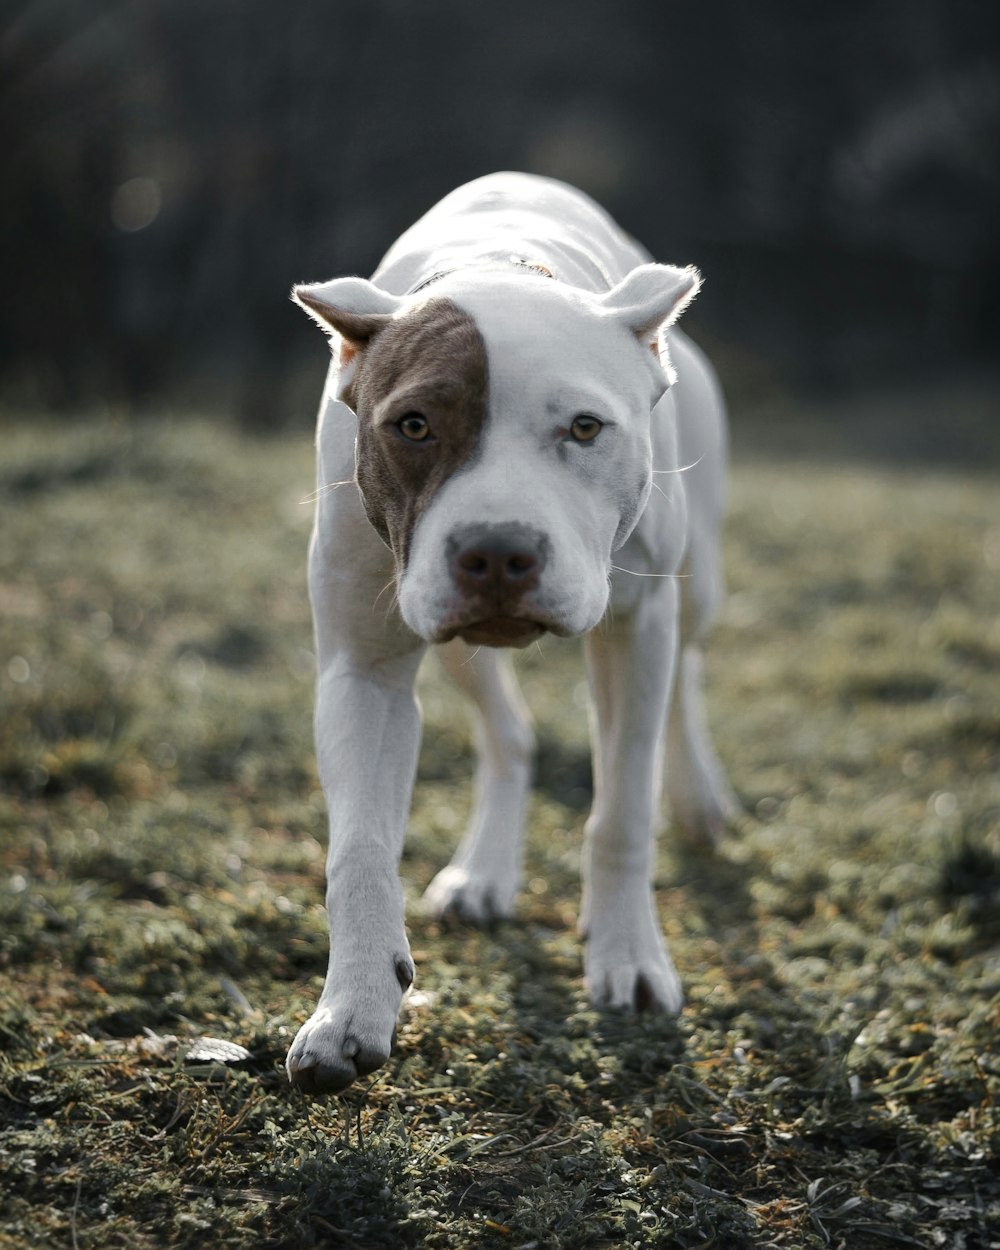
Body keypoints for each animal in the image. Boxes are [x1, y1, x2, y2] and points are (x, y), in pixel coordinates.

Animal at [285, 171, 730, 1090]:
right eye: (413, 425)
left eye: (586, 427)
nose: (496, 552)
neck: (498, 264)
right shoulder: (363, 666)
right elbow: (358, 850)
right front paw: (351, 1007)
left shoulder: (637, 630)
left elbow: (622, 810)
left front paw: (629, 958)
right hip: (452, 641)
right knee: (508, 734)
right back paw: (485, 872)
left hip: (695, 585)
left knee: (688, 680)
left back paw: (699, 798)